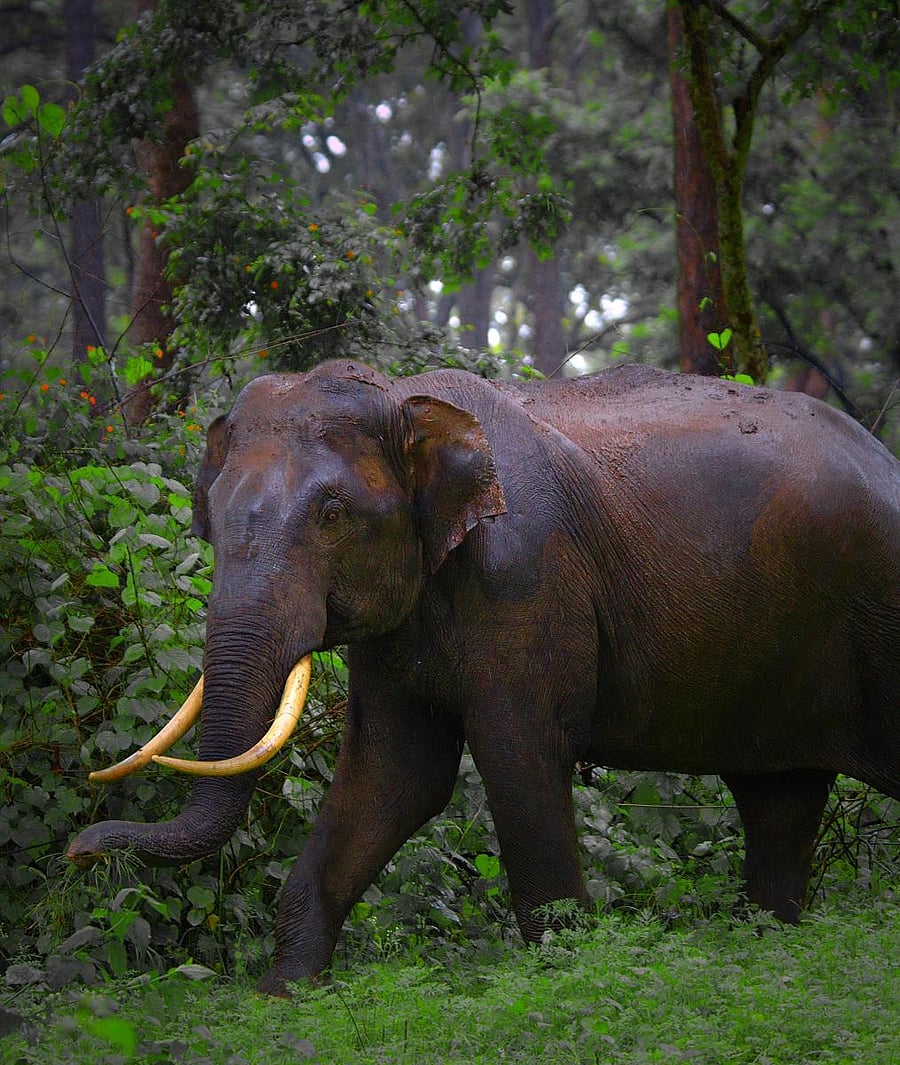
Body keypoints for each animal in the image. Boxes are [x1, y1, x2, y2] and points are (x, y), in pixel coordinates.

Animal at [68, 360, 900, 995]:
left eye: (332, 513)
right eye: (208, 516)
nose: (82, 848)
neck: (407, 400)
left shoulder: (528, 583)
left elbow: (517, 758)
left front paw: (569, 980)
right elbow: (394, 775)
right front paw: (282, 999)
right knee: (779, 798)